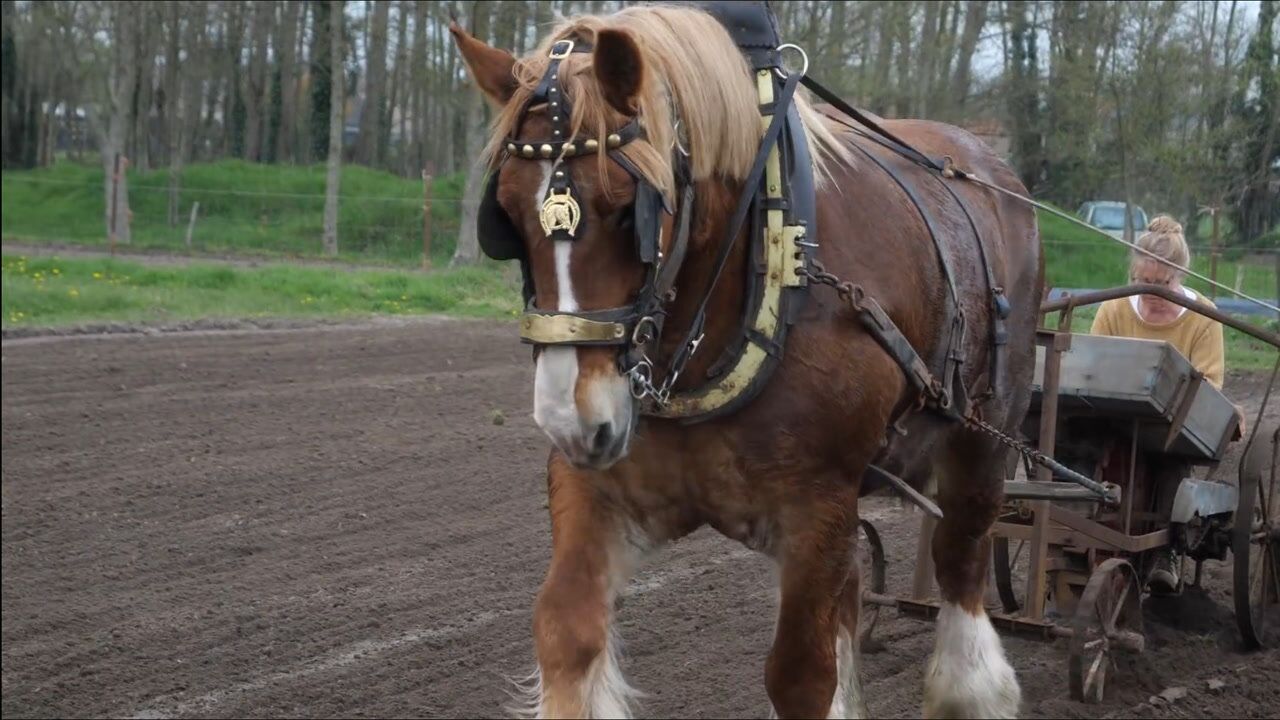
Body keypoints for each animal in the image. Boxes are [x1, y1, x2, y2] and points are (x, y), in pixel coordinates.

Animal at [450, 5, 1039, 717]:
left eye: (624, 211)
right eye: (507, 214)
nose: (571, 421)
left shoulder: (816, 507)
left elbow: (800, 675)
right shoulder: (597, 486)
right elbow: (565, 628)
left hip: (985, 440)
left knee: (961, 560)